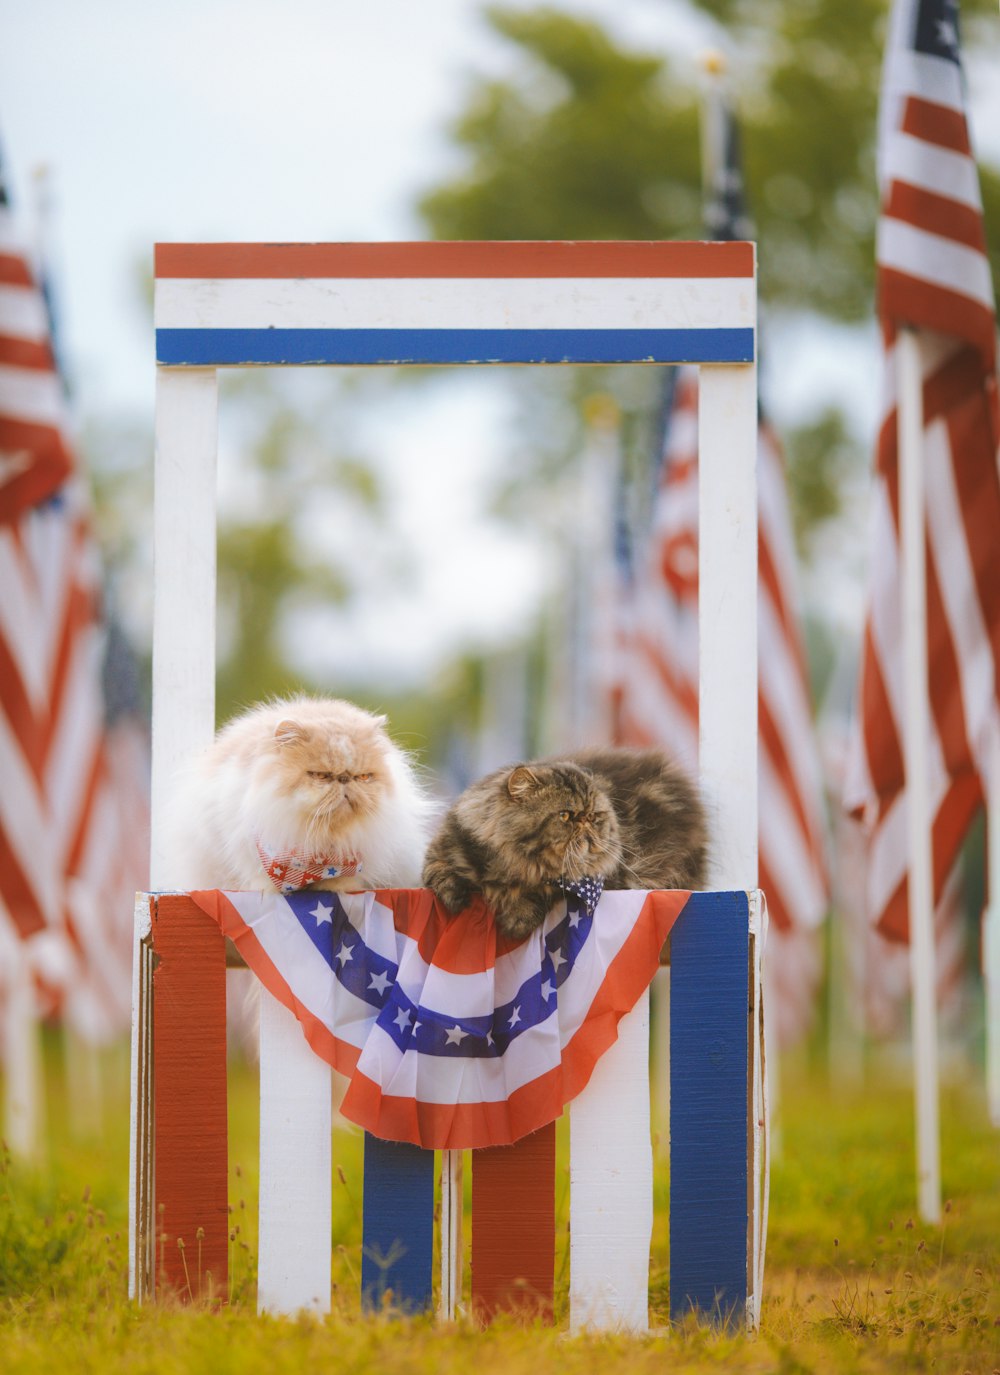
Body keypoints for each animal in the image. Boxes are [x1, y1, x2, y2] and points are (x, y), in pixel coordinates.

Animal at [420, 748, 704, 940]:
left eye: (593, 816)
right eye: (565, 816)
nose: (585, 823)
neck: (509, 865)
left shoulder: (592, 882)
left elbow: (539, 893)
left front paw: (517, 918)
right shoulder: (443, 848)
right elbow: (439, 871)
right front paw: (454, 897)